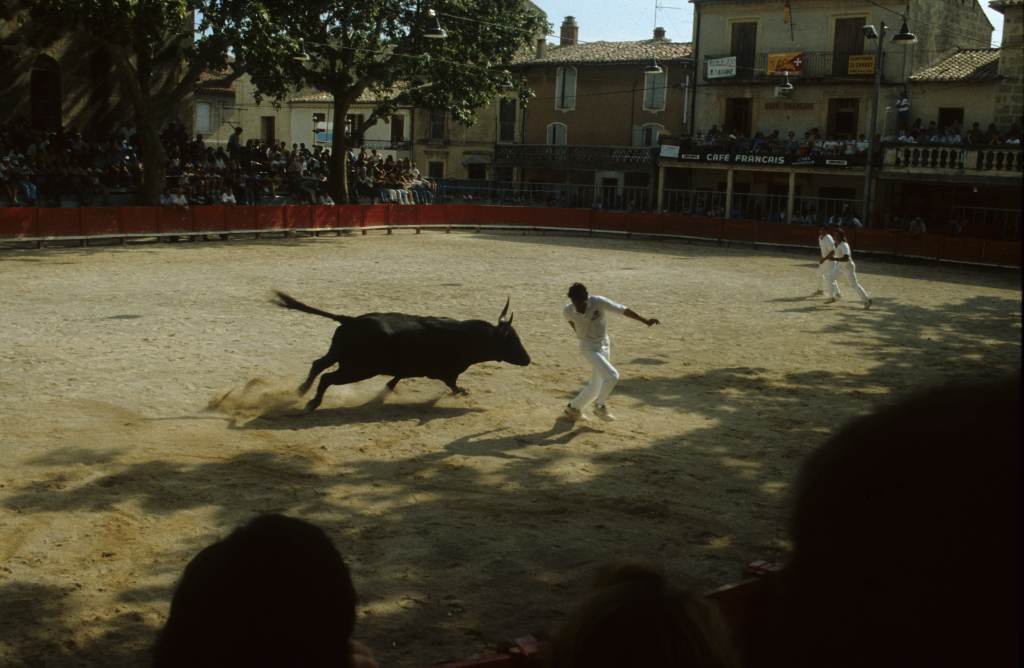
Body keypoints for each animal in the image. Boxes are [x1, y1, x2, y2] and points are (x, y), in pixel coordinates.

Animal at [272, 293, 532, 411]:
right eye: (511, 341)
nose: (528, 360)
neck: (467, 336)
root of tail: (350, 320)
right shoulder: (447, 373)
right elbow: (454, 385)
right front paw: (463, 393)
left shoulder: (407, 368)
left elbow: (395, 380)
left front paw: (384, 394)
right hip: (359, 369)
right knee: (327, 377)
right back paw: (311, 403)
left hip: (339, 354)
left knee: (318, 364)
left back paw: (301, 390)